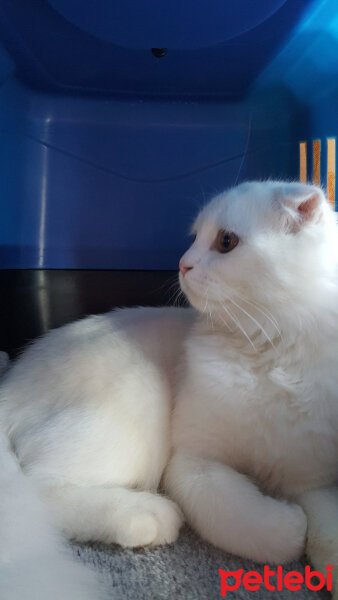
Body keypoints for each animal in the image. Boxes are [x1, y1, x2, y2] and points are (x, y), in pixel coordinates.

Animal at [0, 180, 336, 596]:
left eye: (225, 241)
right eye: (194, 237)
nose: (182, 263)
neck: (271, 357)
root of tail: (11, 383)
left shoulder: (316, 480)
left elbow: (328, 529)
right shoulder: (194, 462)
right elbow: (252, 525)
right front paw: (289, 524)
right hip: (139, 399)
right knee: (41, 488)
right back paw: (145, 514)